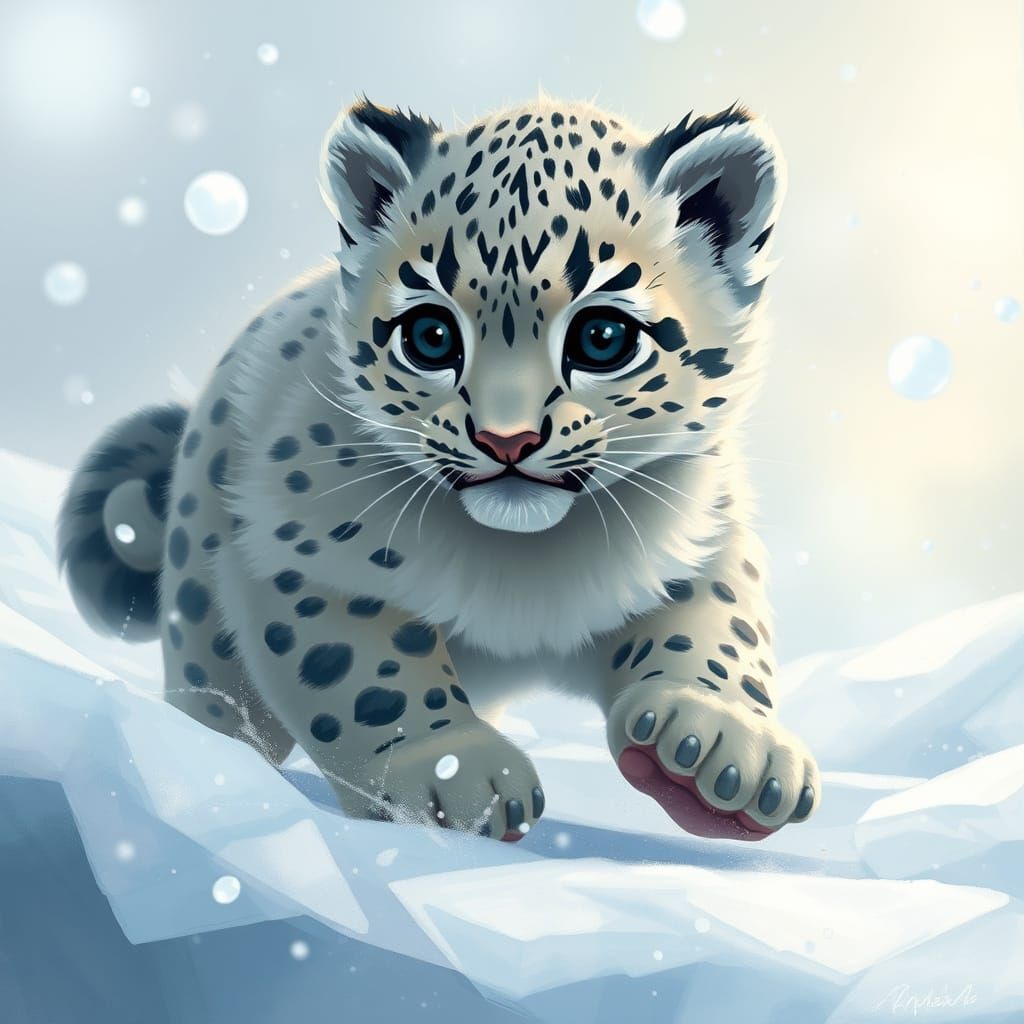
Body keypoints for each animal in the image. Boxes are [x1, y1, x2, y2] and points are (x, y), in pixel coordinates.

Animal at [59, 95, 820, 843]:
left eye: (603, 337)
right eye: (430, 335)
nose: (506, 439)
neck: (530, 573)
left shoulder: (704, 538)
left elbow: (721, 628)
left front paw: (720, 746)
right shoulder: (301, 558)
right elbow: (363, 673)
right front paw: (453, 770)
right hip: (200, 607)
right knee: (217, 698)